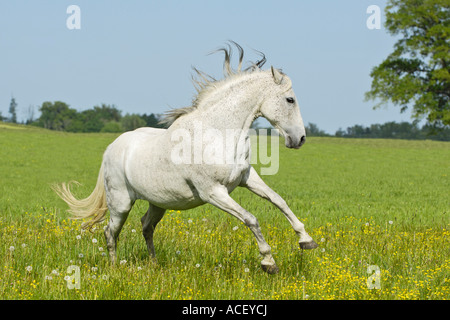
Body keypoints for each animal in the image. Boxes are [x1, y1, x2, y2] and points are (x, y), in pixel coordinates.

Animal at [54, 42, 318, 274]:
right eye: (290, 99)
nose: (300, 138)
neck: (218, 133)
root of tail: (111, 148)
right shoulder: (213, 192)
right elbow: (251, 219)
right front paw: (269, 263)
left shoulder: (246, 177)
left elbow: (278, 200)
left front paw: (306, 240)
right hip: (120, 203)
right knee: (110, 233)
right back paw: (114, 268)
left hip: (158, 203)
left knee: (146, 226)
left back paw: (154, 264)